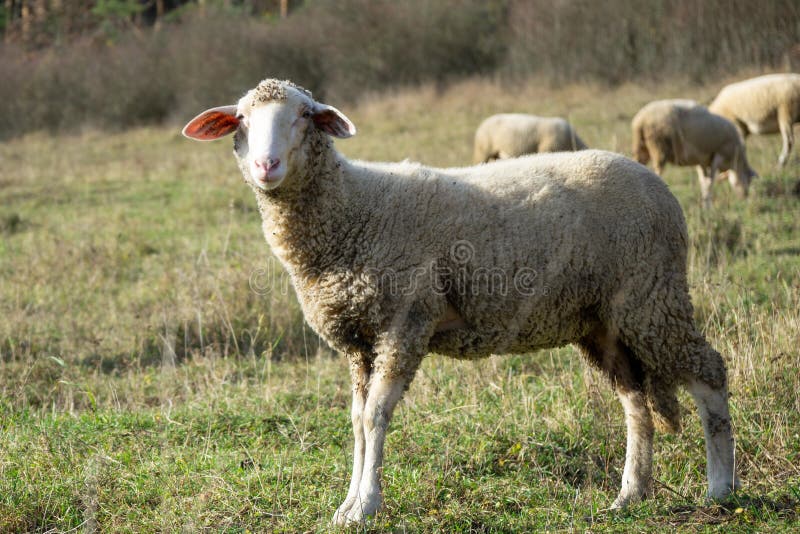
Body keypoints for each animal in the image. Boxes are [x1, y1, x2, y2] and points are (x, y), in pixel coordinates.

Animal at [181, 79, 736, 528]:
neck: (352, 210)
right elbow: (357, 420)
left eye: (302, 114)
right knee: (636, 402)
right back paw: (631, 494)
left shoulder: (405, 322)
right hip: (605, 322)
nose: (266, 165)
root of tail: (656, 183)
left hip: (652, 296)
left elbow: (376, 415)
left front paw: (366, 506)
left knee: (708, 372)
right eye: (242, 120)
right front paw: (347, 503)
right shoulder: (361, 341)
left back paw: (720, 490)